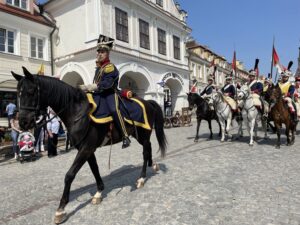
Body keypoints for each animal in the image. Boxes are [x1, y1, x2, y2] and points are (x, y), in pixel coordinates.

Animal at [11, 67, 166, 224]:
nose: (23, 122)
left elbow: (69, 175)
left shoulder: (86, 149)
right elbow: (94, 169)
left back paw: (141, 178)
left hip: (143, 134)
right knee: (149, 148)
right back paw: (153, 165)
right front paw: (99, 192)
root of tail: (147, 102)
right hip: (138, 135)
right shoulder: (87, 149)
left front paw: (61, 209)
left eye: (31, 91)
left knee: (146, 151)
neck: (77, 111)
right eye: (18, 93)